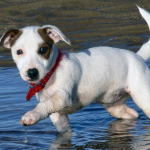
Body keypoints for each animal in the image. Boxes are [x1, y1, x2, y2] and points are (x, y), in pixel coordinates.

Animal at [0, 6, 150, 132]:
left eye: (43, 49)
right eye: (19, 52)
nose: (32, 72)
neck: (52, 73)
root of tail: (138, 56)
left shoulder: (61, 97)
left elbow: (44, 105)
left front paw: (30, 115)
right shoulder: (58, 116)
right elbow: (64, 132)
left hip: (143, 96)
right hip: (114, 105)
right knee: (133, 114)